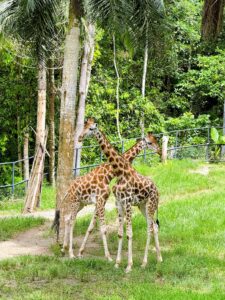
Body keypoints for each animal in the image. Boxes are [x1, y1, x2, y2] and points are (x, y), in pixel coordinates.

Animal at [53, 122, 161, 260]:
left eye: (90, 128)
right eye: (151, 142)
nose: (159, 150)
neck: (108, 174)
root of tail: (68, 189)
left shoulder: (100, 201)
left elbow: (91, 226)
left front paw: (81, 252)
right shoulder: (101, 200)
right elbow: (102, 227)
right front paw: (108, 257)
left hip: (81, 204)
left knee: (67, 219)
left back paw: (64, 249)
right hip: (75, 202)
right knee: (71, 221)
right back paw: (70, 253)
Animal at [78, 118, 162, 274]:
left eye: (91, 128)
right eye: (85, 126)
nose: (159, 151)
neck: (120, 172)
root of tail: (158, 191)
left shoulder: (127, 202)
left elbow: (129, 233)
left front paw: (129, 265)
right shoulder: (119, 202)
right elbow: (120, 233)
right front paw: (117, 263)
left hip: (150, 205)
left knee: (151, 227)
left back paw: (148, 262)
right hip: (142, 206)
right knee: (153, 225)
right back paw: (155, 260)